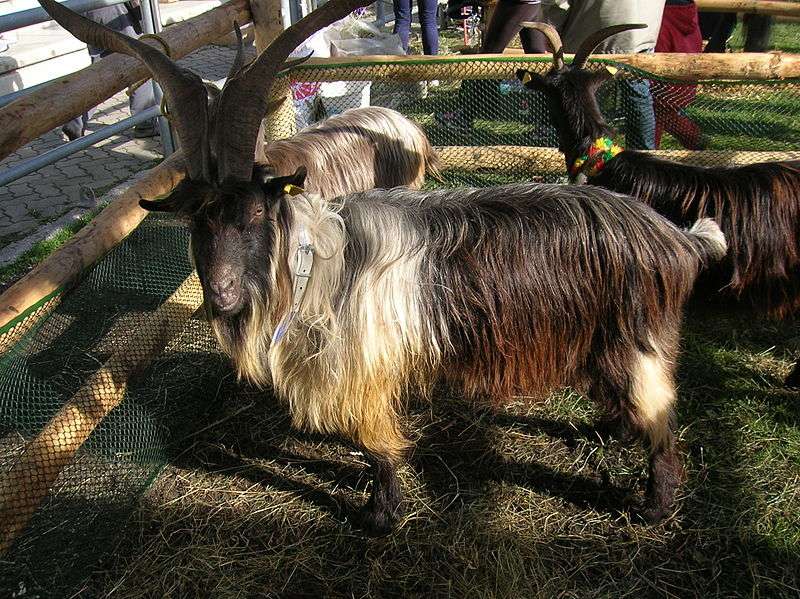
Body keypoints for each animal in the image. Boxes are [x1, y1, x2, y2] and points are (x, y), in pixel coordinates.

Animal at [188, 170, 725, 533]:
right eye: (198, 224)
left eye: (257, 214)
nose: (220, 293)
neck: (320, 265)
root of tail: (680, 240)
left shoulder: (368, 371)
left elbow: (377, 447)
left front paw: (380, 516)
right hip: (605, 344)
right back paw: (608, 430)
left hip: (638, 341)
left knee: (661, 421)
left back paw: (654, 506)